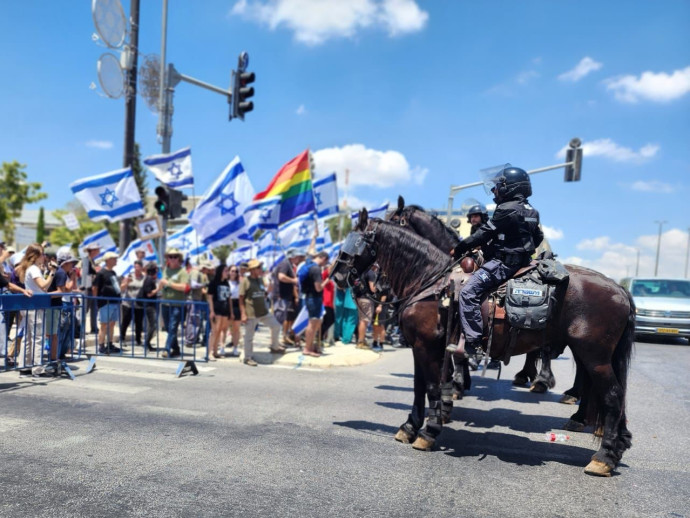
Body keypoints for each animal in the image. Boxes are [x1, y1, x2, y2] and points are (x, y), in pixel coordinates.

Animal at [388, 197, 560, 396]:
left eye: (395, 219)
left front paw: (458, 382)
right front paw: (461, 379)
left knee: (545, 347)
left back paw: (541, 380)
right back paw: (527, 376)